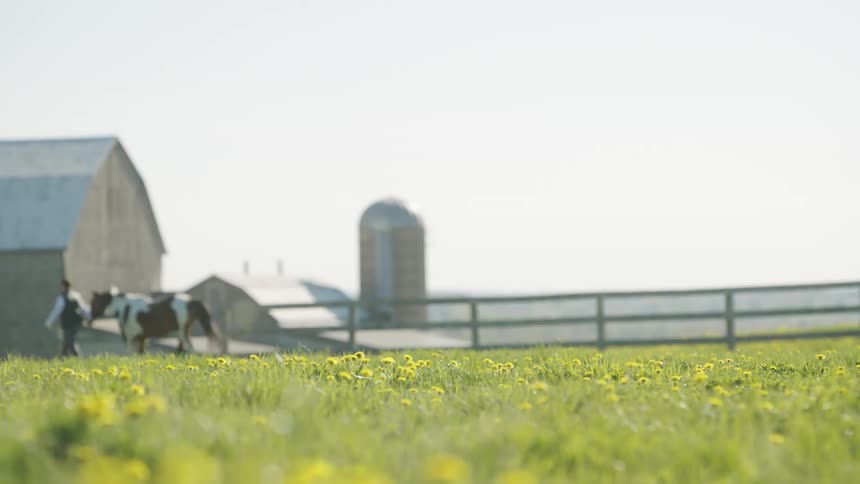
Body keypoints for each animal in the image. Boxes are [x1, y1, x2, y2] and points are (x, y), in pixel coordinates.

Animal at [89, 288, 228, 355]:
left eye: (94, 302)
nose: (89, 319)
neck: (125, 308)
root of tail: (191, 301)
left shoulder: (131, 339)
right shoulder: (142, 339)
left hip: (183, 332)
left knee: (189, 348)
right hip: (182, 333)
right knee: (182, 349)